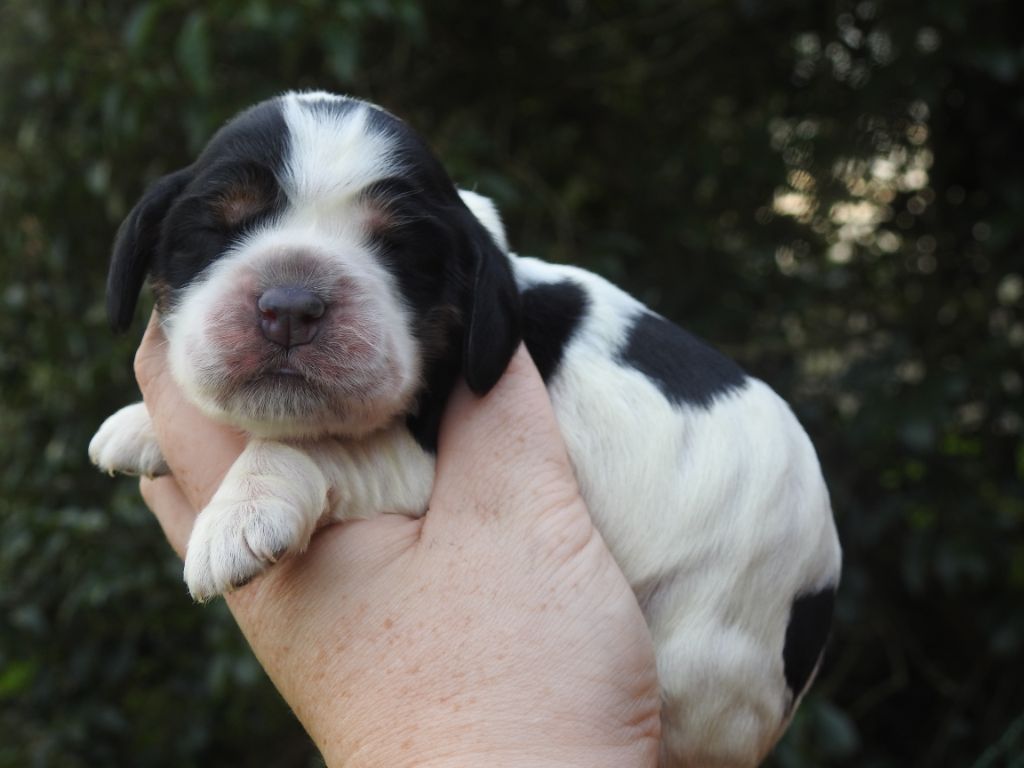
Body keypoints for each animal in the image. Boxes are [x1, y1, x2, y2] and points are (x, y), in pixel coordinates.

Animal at [88, 91, 839, 768]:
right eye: (217, 229)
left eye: (399, 249)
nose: (291, 306)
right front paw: (137, 427)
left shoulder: (416, 456)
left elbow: (319, 446)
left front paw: (242, 510)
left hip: (705, 659)